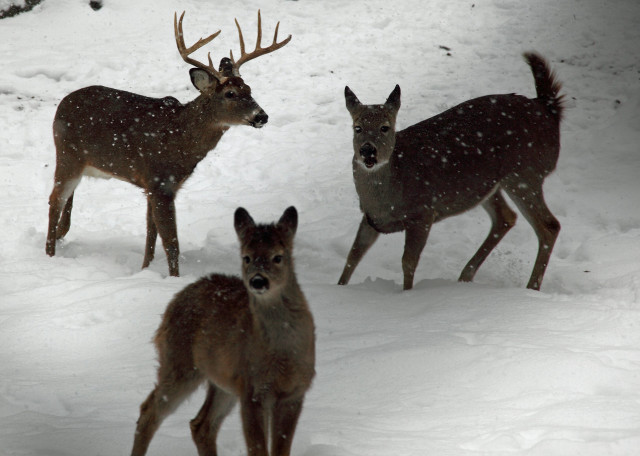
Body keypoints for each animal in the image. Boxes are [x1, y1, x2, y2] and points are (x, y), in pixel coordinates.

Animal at [46, 11, 291, 276]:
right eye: (230, 94)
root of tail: (62, 103)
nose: (261, 116)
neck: (180, 140)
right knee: (54, 200)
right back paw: (49, 255)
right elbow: (171, 243)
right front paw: (173, 279)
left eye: (249, 88)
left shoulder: (155, 186)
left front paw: (145, 270)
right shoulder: (160, 182)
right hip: (67, 154)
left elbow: (151, 236)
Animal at [131, 206, 315, 456]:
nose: (258, 281)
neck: (283, 354)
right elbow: (258, 449)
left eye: (278, 257)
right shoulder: (253, 390)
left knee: (201, 424)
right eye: (246, 257)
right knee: (149, 410)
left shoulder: (294, 392)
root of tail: (173, 302)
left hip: (222, 381)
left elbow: (280, 450)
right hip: (179, 363)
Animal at [338, 52, 564, 291]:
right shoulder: (371, 218)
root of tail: (548, 110)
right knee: (506, 217)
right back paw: (465, 277)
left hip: (524, 173)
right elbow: (353, 255)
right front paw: (338, 288)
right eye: (357, 127)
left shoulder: (423, 213)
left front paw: (406, 294)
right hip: (488, 184)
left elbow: (408, 262)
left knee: (549, 226)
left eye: (385, 127)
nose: (367, 150)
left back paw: (531, 288)